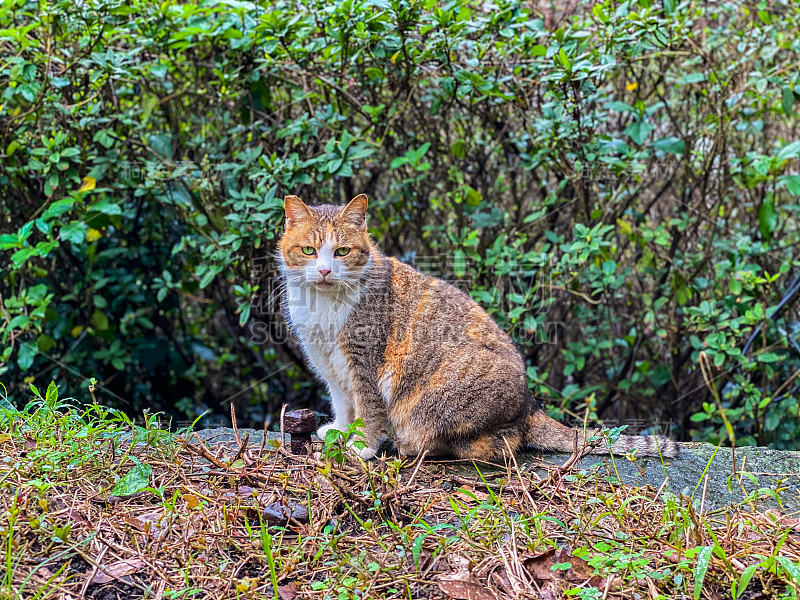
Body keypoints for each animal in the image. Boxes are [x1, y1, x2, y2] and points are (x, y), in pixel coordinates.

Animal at [278, 192, 680, 460]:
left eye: (342, 251)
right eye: (310, 251)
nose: (325, 271)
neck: (323, 306)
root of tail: (528, 405)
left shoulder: (364, 364)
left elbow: (369, 411)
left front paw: (360, 447)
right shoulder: (331, 365)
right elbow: (343, 404)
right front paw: (339, 431)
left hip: (439, 400)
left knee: (495, 444)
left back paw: (413, 443)